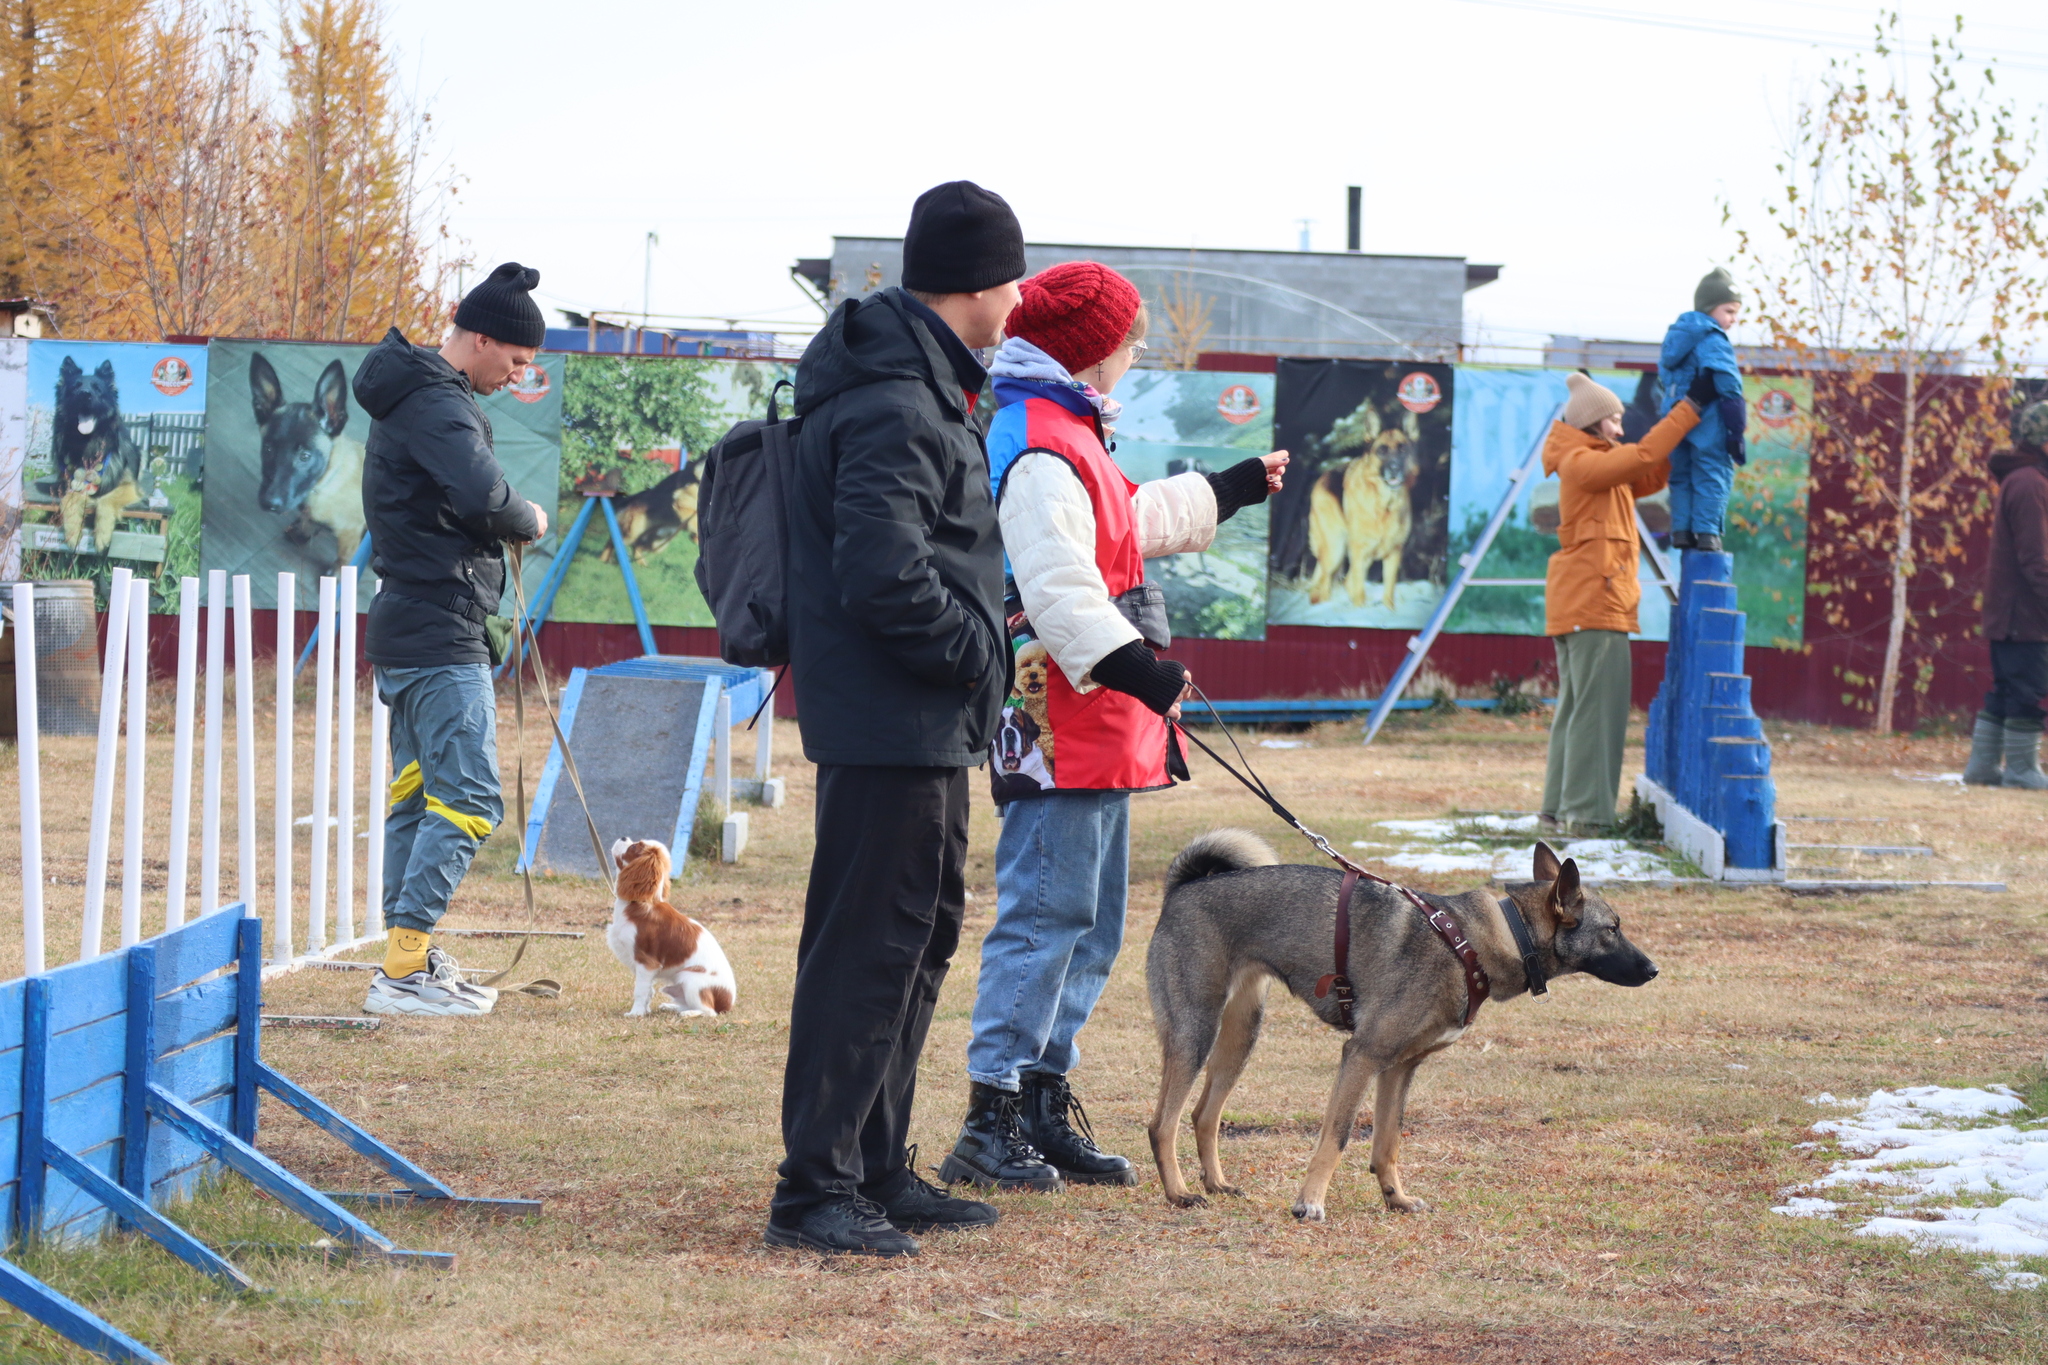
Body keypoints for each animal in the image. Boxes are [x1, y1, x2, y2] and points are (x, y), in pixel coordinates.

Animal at [51, 362, 145, 560]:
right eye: (76, 387)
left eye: (97, 389)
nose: (85, 394)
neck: (89, 444)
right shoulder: (69, 484)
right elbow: (69, 499)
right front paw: (72, 533)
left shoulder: (129, 486)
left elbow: (107, 499)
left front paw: (102, 536)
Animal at [1146, 826, 1654, 1219]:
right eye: (1612, 929)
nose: (1653, 970)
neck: (1479, 942)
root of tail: (1182, 889)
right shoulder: (1362, 1056)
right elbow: (1338, 1136)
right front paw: (1309, 1203)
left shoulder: (1398, 1068)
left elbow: (1386, 1143)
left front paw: (1396, 1199)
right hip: (1196, 1031)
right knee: (1161, 1124)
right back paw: (1179, 1194)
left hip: (1240, 1036)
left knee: (1203, 1115)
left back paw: (1215, 1184)